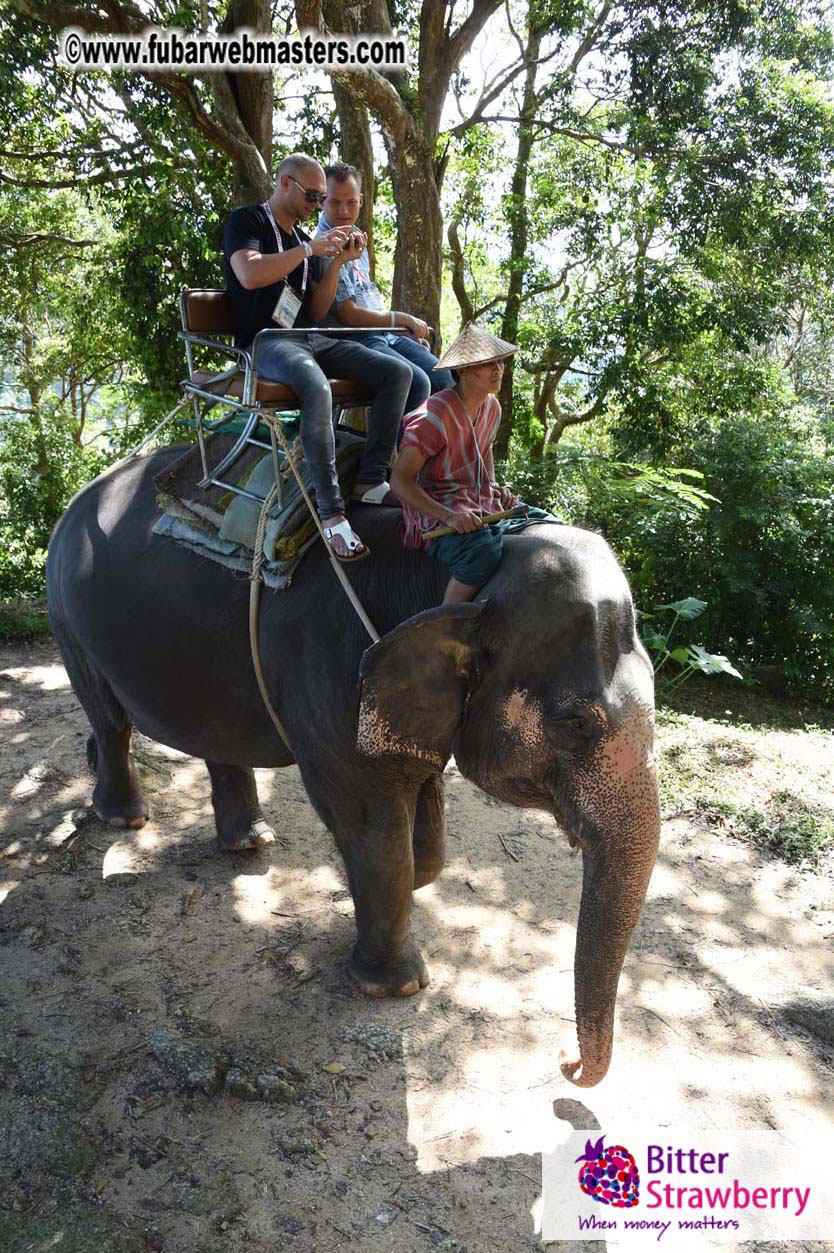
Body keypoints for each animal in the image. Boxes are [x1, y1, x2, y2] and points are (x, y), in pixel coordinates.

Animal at [46, 446, 660, 1088]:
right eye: (576, 725)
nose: (566, 1061)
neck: (455, 575)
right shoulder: (330, 668)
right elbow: (368, 822)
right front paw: (397, 987)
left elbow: (422, 811)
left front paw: (414, 881)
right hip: (67, 613)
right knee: (107, 715)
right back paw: (124, 819)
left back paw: (249, 843)